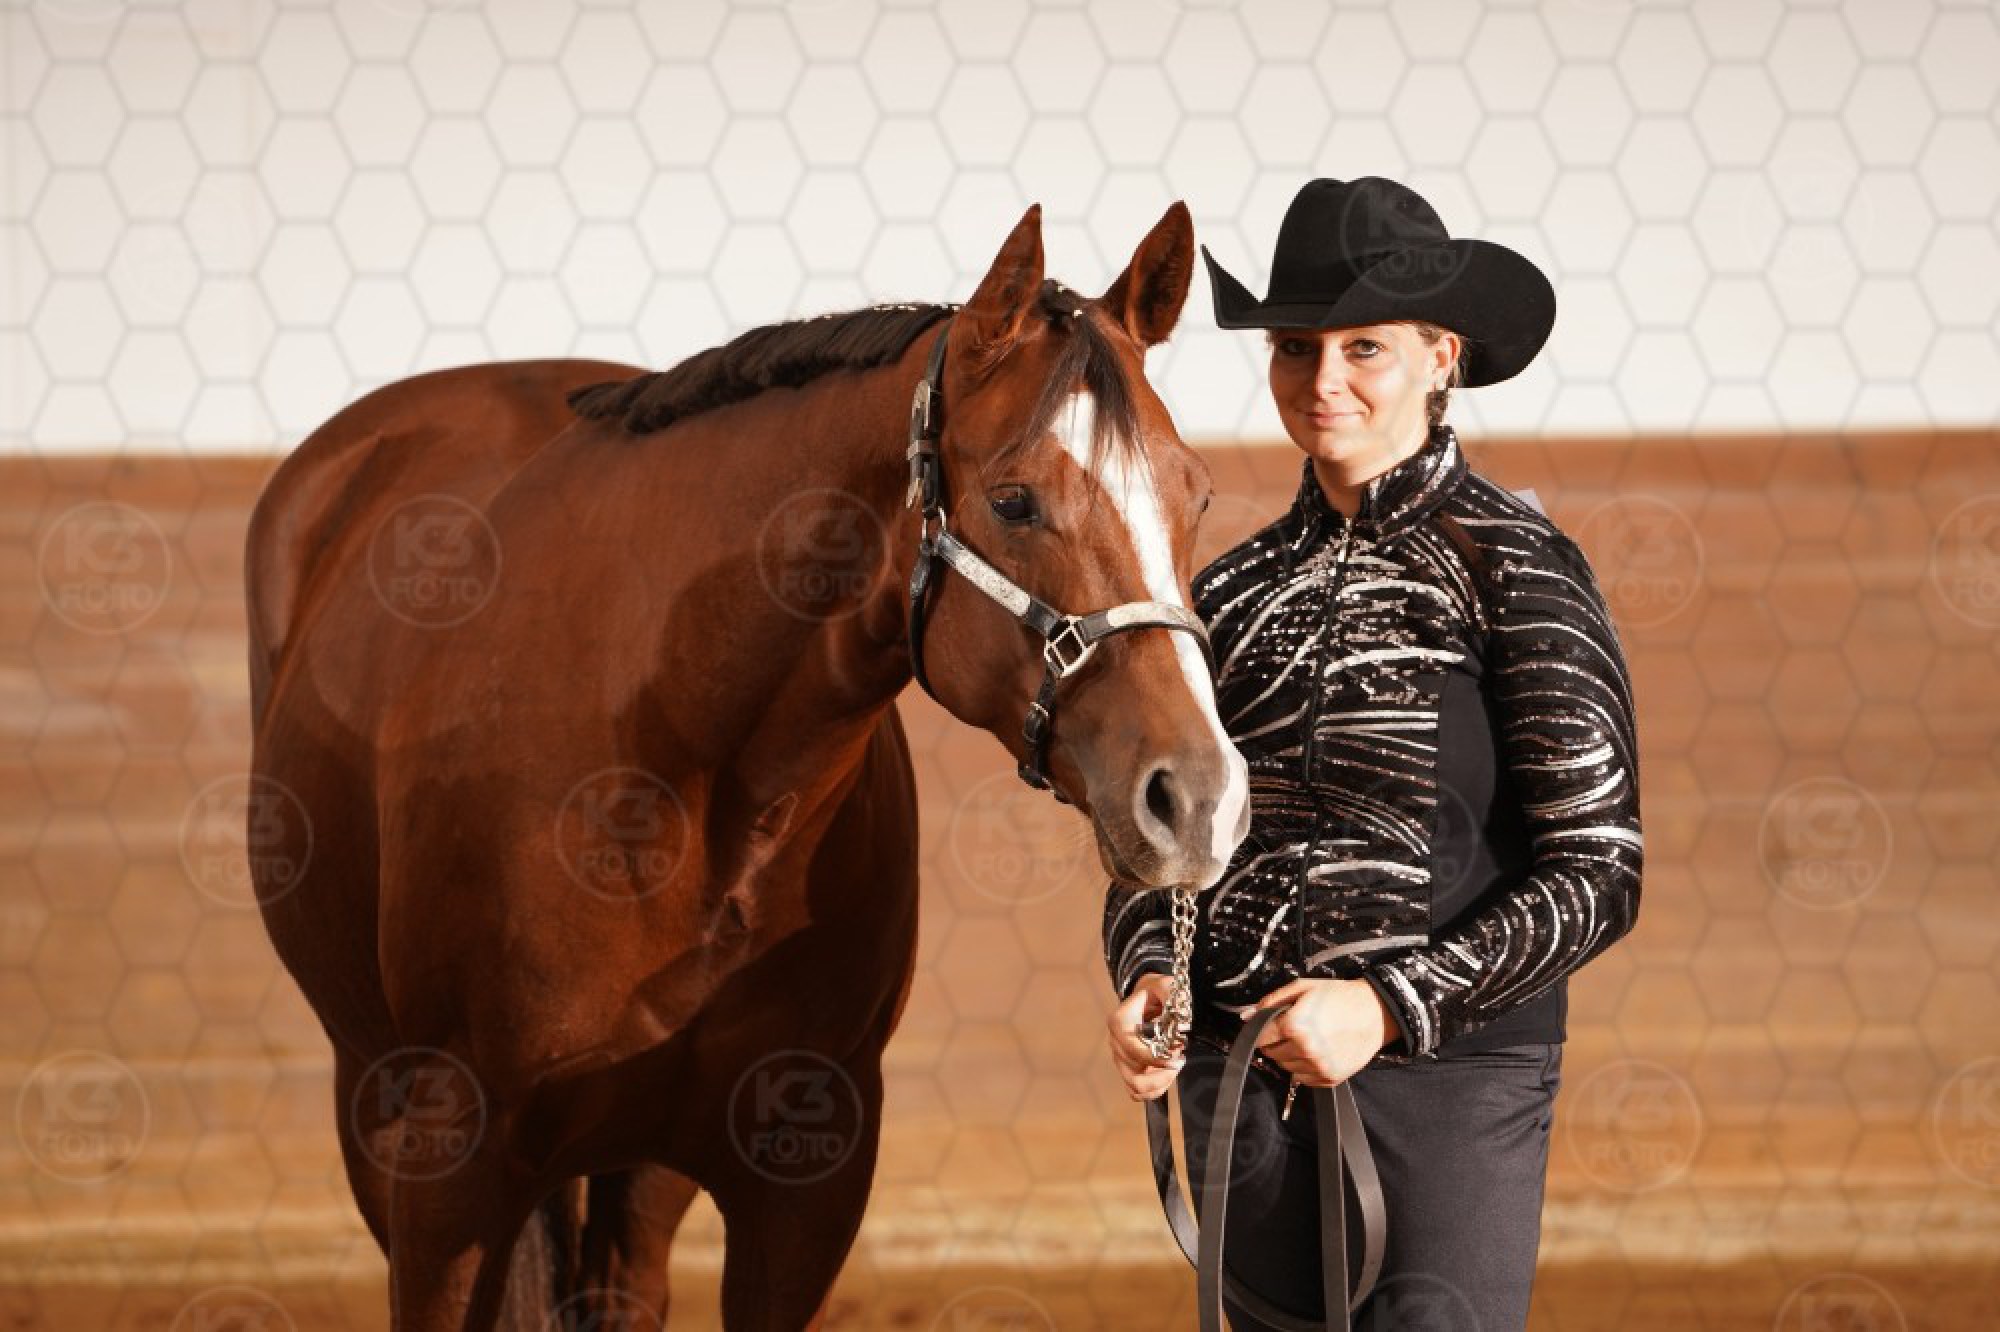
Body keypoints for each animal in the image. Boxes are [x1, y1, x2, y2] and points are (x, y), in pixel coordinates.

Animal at [242, 202, 1250, 1331]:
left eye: (1196, 493)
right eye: (1016, 500)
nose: (1198, 798)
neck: (674, 785)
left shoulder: (805, 1178)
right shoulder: (446, 1170)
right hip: (372, 1103)